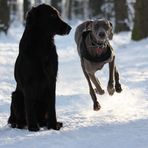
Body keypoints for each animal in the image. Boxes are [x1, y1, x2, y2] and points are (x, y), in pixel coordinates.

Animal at [8, 3, 71, 131]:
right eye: (52, 15)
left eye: (58, 14)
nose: (69, 28)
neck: (42, 44)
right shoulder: (28, 83)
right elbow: (29, 106)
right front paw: (33, 126)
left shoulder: (52, 79)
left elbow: (52, 105)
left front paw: (53, 125)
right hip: (16, 96)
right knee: (15, 119)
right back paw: (19, 124)